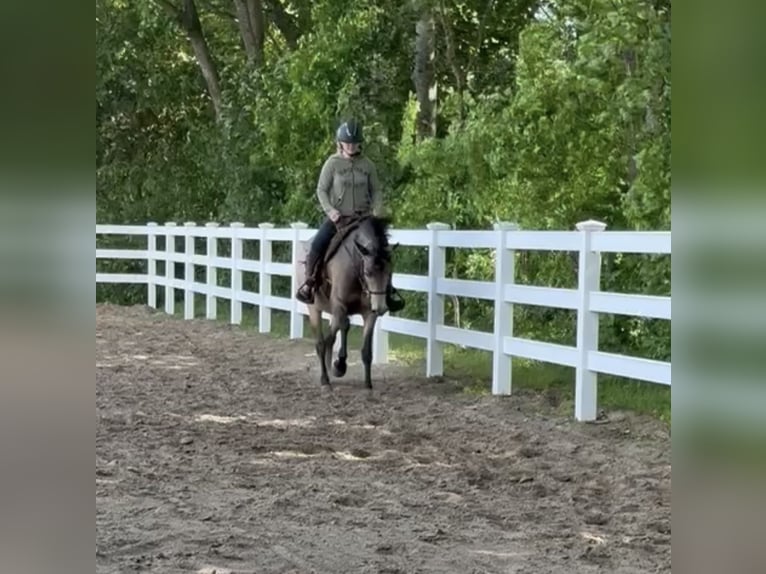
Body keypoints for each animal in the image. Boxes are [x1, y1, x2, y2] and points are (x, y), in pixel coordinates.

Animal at [301, 215, 396, 389]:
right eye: (368, 272)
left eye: (389, 272)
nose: (381, 307)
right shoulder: (340, 304)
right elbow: (342, 327)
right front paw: (339, 365)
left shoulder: (368, 312)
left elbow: (366, 350)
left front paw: (367, 383)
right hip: (314, 309)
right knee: (321, 342)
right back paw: (325, 379)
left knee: (334, 333)